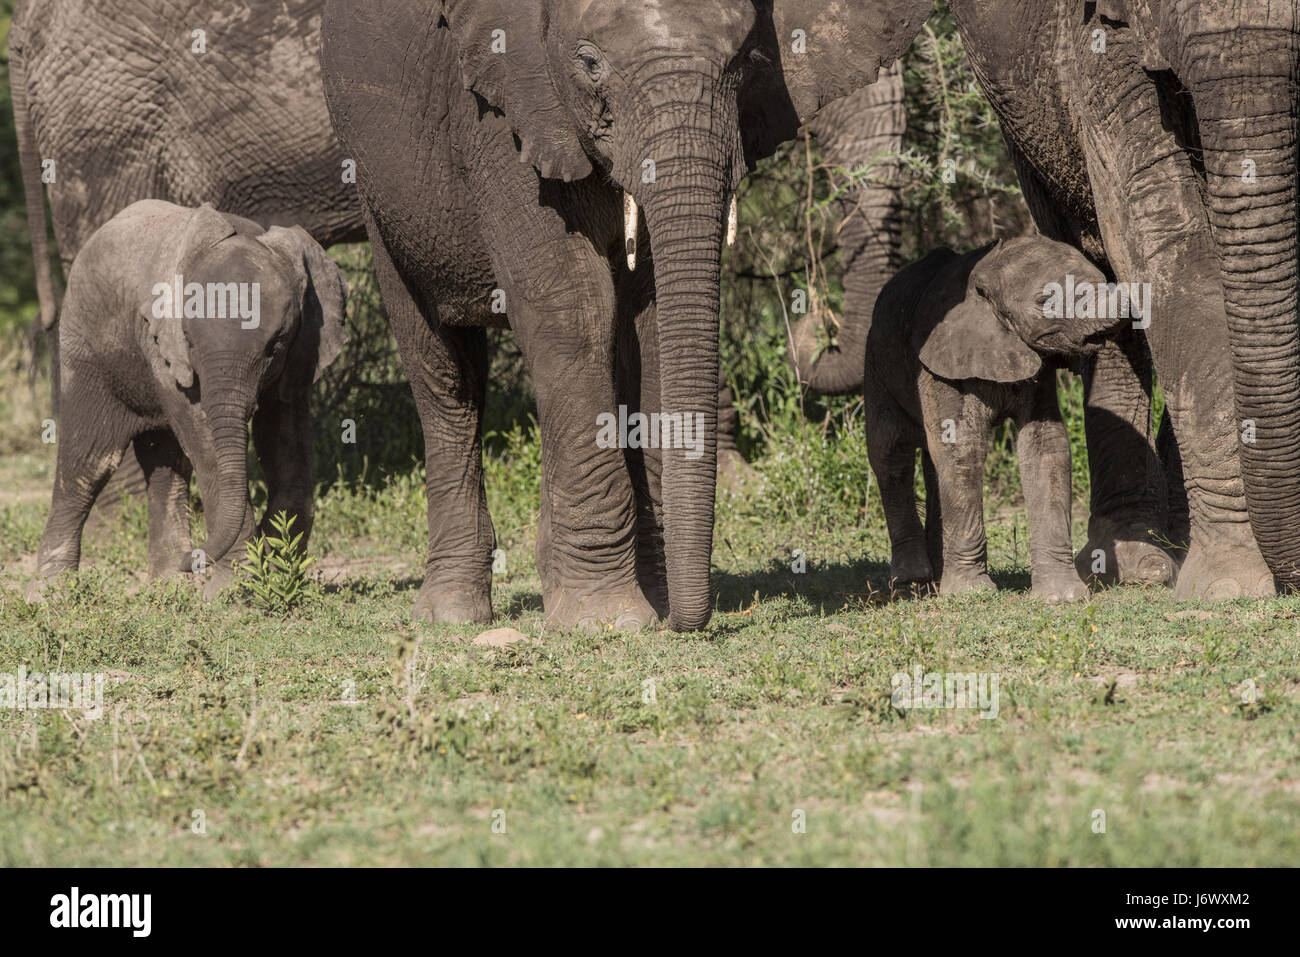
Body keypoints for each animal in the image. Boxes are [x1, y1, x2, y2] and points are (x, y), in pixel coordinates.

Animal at [30, 200, 345, 598]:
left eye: (275, 345)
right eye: (190, 343)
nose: (194, 561)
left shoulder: (301, 355)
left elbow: (285, 438)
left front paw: (277, 571)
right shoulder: (164, 348)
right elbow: (207, 443)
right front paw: (232, 594)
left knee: (168, 463)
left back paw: (168, 586)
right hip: (84, 346)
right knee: (88, 463)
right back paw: (50, 594)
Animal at [323, 0, 935, 631]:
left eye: (749, 61)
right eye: (590, 65)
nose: (687, 622)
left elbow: (651, 321)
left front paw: (650, 604)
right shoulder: (502, 110)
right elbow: (572, 304)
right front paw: (604, 619)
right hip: (378, 184)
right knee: (442, 368)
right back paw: (450, 615)